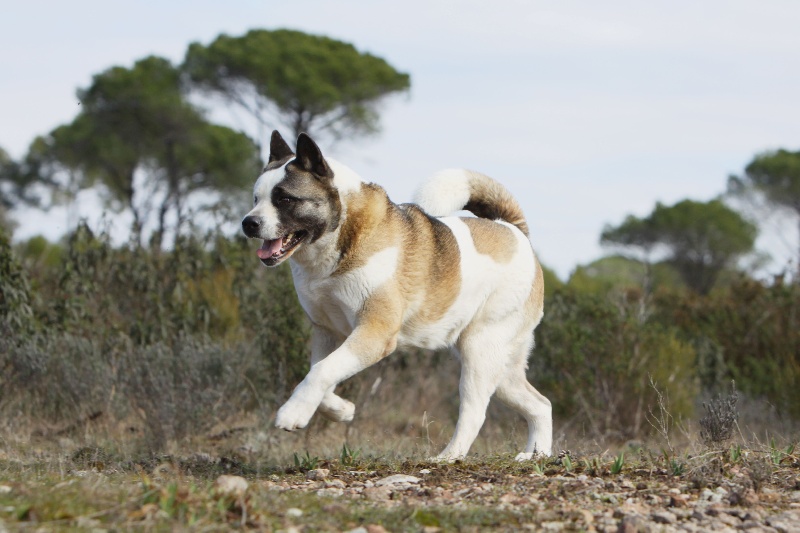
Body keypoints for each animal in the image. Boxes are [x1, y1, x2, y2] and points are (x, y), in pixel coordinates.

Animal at [238, 131, 552, 460]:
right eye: (256, 198)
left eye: (285, 198)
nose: (248, 222)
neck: (347, 231)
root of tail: (513, 231)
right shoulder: (327, 334)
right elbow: (319, 372)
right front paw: (341, 410)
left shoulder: (374, 333)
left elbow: (322, 371)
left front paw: (293, 412)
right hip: (502, 370)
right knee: (541, 405)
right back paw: (537, 454)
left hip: (479, 354)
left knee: (475, 412)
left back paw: (448, 457)